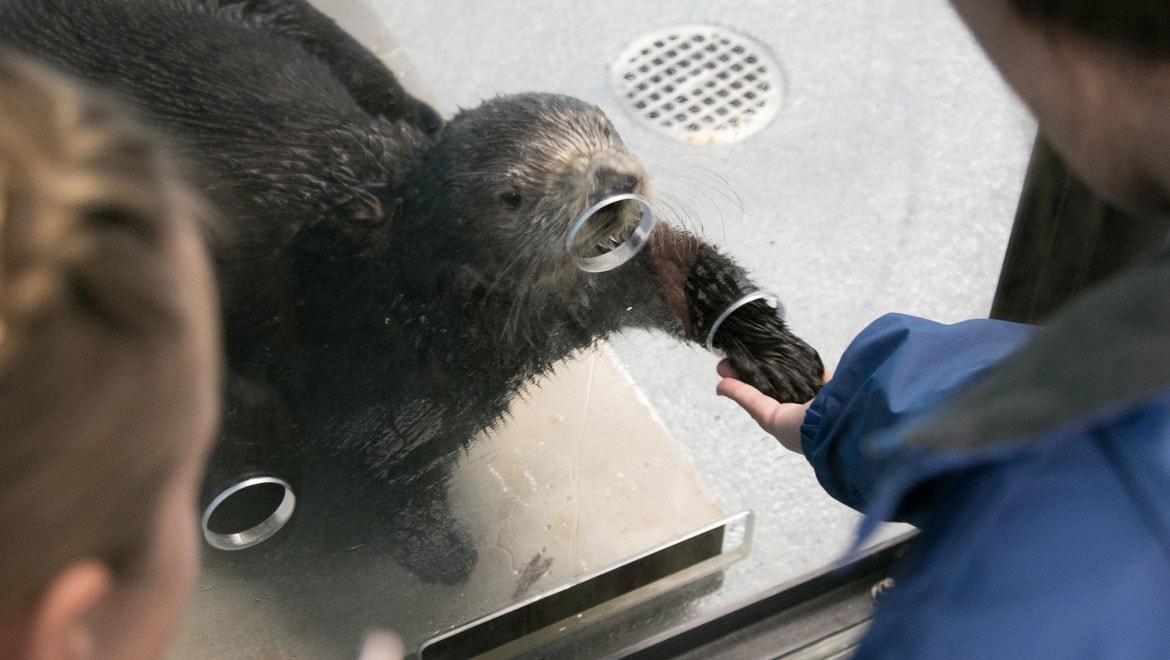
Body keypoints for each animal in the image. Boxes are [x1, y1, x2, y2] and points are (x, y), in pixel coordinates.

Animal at [0, 0, 823, 582]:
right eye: (515, 195)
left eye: (604, 128)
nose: (616, 183)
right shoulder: (367, 390)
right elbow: (389, 475)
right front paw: (439, 552)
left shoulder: (605, 283)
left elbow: (687, 273)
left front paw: (780, 357)